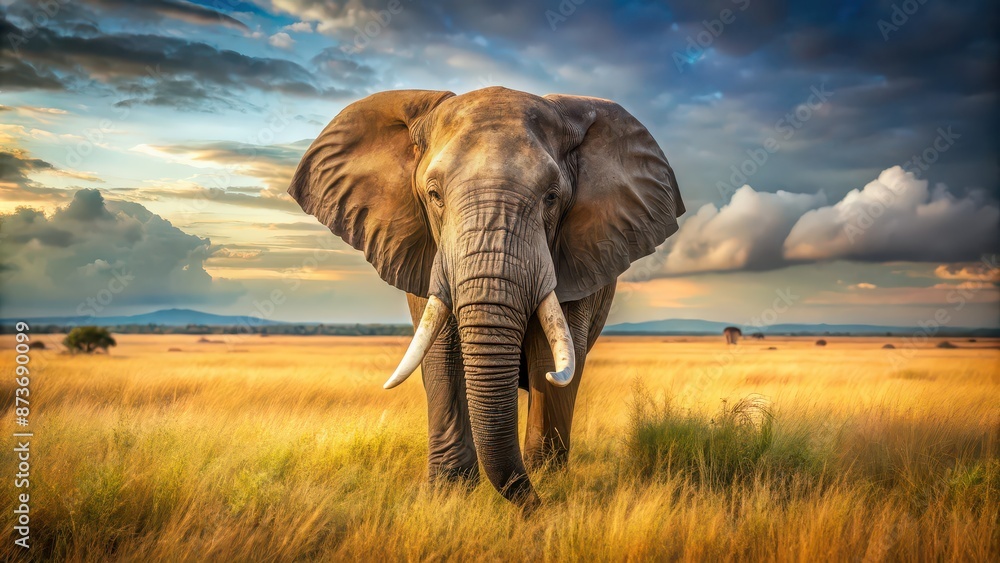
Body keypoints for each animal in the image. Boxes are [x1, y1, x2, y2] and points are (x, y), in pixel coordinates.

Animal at [287, 87, 685, 508]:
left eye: (552, 197)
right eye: (434, 195)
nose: (537, 507)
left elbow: (551, 355)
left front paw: (549, 483)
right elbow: (441, 351)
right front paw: (449, 495)